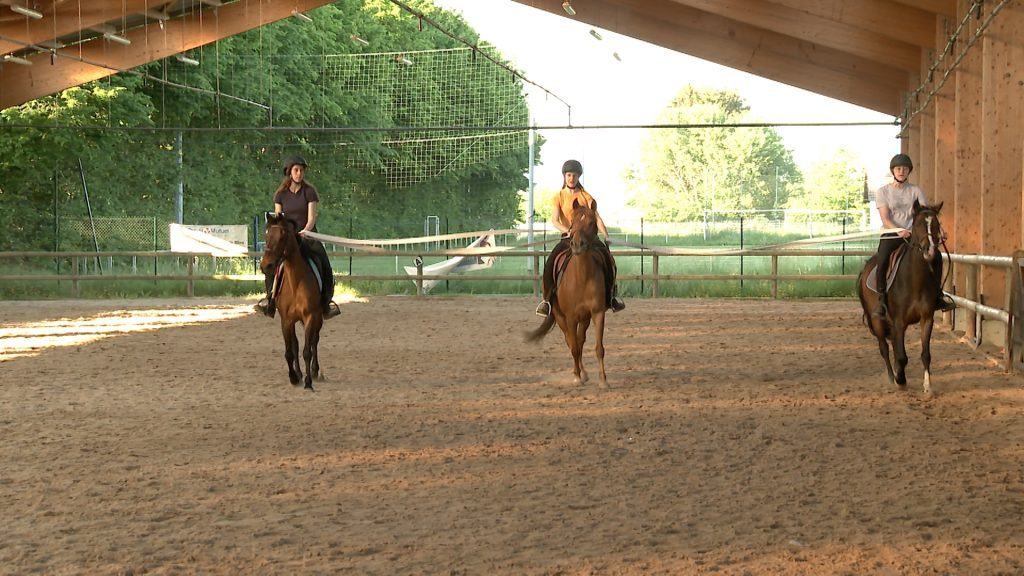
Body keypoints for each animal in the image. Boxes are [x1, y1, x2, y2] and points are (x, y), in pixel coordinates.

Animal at [260, 212, 323, 389]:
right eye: (266, 234)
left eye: (282, 236)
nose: (266, 266)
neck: (296, 282)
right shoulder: (286, 320)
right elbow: (290, 350)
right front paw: (294, 377)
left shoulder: (310, 317)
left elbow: (307, 350)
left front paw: (308, 381)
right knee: (296, 344)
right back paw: (300, 373)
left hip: (318, 318)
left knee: (314, 341)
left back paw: (315, 371)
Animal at [528, 199, 606, 387]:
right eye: (573, 222)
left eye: (591, 222)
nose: (577, 244)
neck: (582, 277)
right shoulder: (570, 317)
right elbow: (574, 347)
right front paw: (577, 377)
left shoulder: (597, 313)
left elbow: (598, 348)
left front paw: (603, 380)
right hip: (560, 316)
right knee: (571, 342)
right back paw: (580, 373)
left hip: (584, 318)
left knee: (580, 340)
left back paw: (585, 373)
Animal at [856, 199, 942, 391]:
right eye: (918, 224)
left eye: (937, 225)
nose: (930, 251)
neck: (914, 281)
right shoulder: (899, 321)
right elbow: (901, 355)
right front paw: (900, 380)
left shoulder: (927, 318)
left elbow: (925, 354)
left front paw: (928, 386)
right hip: (878, 322)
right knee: (884, 348)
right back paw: (891, 376)